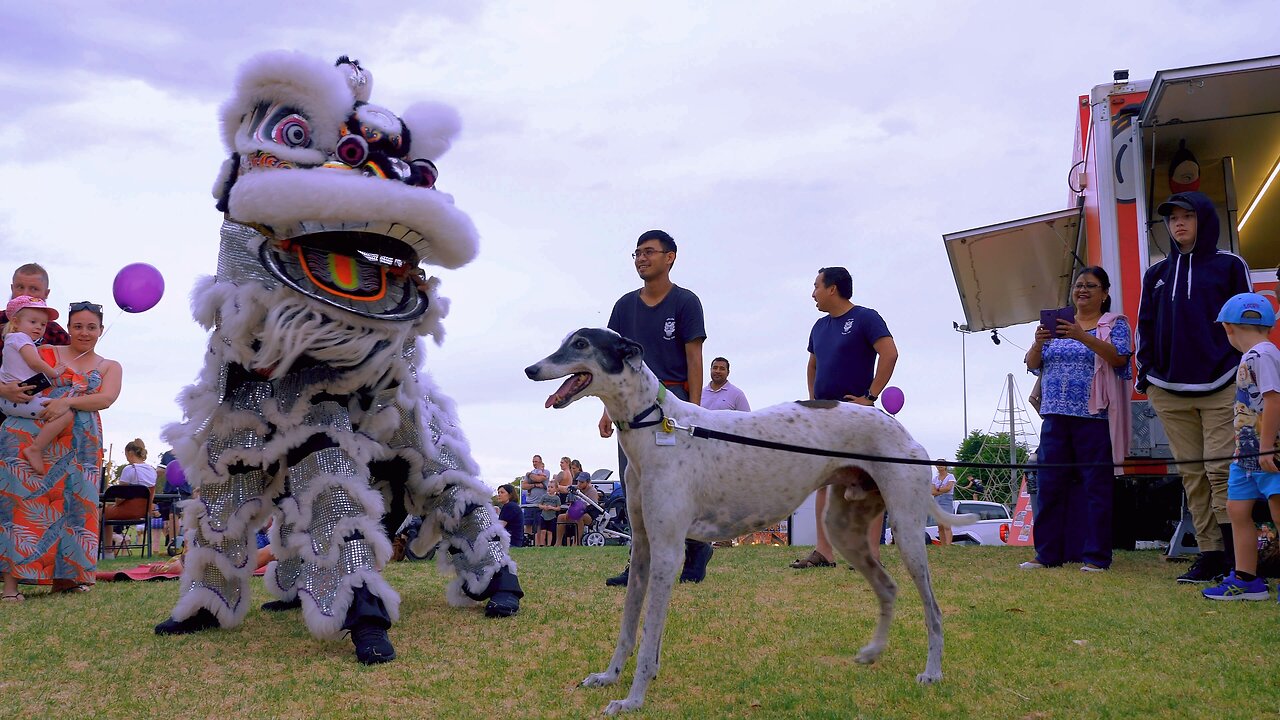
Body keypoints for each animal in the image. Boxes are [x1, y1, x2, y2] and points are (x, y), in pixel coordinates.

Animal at [524, 330, 972, 712]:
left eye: (581, 343)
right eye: (566, 340)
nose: (529, 370)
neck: (658, 426)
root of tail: (900, 427)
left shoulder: (668, 552)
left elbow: (649, 636)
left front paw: (633, 700)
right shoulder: (645, 550)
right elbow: (629, 626)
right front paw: (609, 677)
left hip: (907, 532)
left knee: (933, 609)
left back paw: (932, 673)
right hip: (844, 529)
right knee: (888, 586)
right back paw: (873, 652)